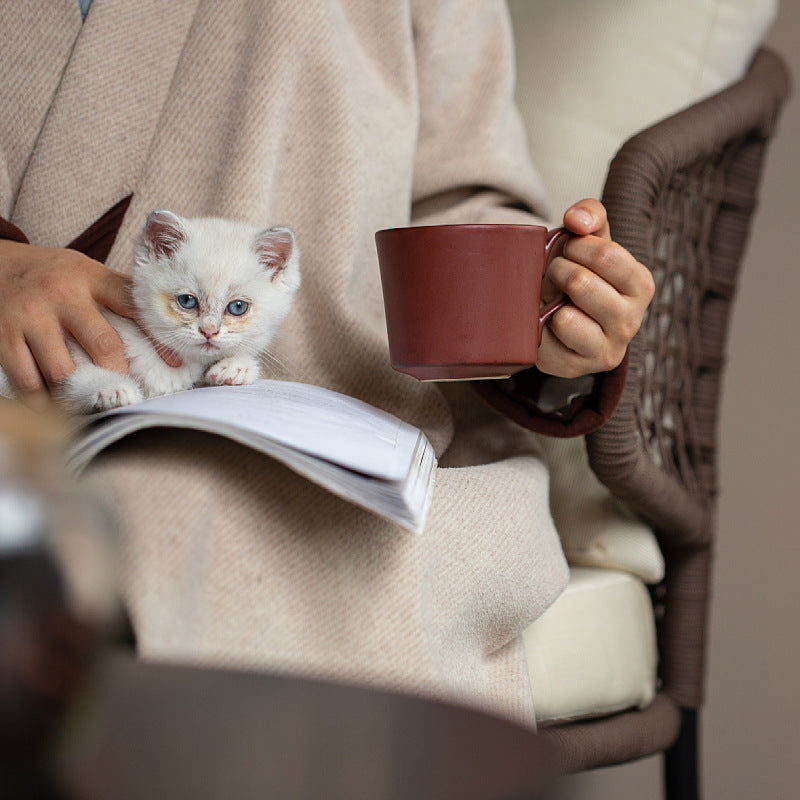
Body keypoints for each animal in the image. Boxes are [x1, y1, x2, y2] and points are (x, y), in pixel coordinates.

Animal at [0, 209, 298, 416]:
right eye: (187, 301)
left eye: (237, 307)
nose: (209, 331)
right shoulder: (68, 350)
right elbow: (73, 379)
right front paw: (111, 390)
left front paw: (237, 366)